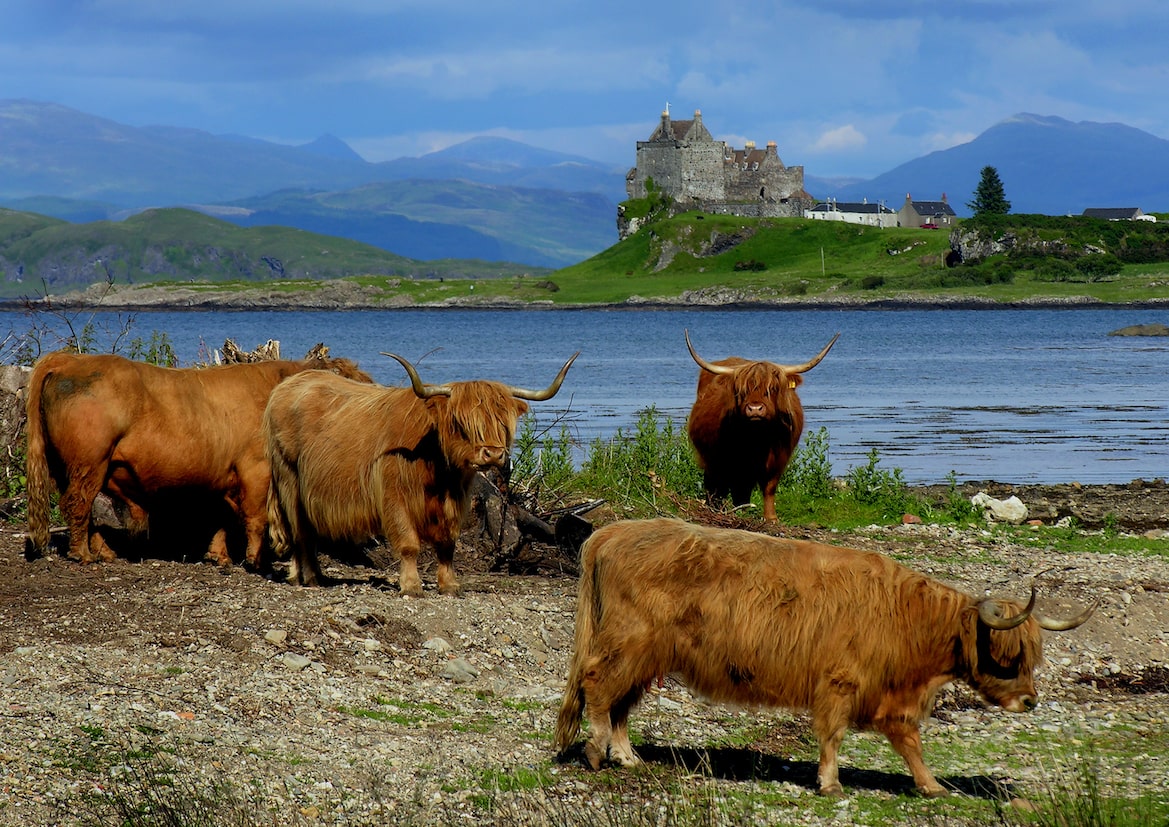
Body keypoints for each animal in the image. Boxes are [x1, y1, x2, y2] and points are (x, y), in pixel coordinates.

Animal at [23, 348, 369, 568]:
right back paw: (82, 554)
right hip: (89, 462)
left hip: (74, 467)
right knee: (78, 504)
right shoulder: (255, 469)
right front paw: (256, 560)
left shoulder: (225, 475)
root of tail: (70, 359)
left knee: (84, 508)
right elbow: (255, 517)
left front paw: (219, 556)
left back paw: (104, 552)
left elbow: (223, 518)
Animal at [263, 348, 577, 594]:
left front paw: (449, 585)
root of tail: (288, 385)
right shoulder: (394, 498)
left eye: (503, 422)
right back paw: (307, 577)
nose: (493, 454)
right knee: (299, 530)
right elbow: (408, 543)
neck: (439, 473)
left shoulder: (455, 503)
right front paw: (412, 586)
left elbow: (447, 544)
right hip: (289, 479)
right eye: (460, 422)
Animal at [556, 521, 1094, 800]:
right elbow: (833, 734)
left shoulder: (891, 696)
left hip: (648, 657)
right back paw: (598, 752)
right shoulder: (840, 681)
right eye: (1009, 655)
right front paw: (831, 783)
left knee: (621, 702)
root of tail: (611, 532)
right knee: (598, 686)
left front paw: (931, 786)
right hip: (628, 643)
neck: (906, 619)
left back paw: (628, 756)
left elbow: (909, 741)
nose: (1030, 701)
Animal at [682, 327, 841, 521]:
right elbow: (737, 488)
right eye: (741, 390)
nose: (755, 409)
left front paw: (771, 518)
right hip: (711, 459)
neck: (760, 439)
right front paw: (741, 513)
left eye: (772, 389)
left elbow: (769, 487)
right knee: (715, 486)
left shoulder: (779, 458)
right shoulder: (732, 459)